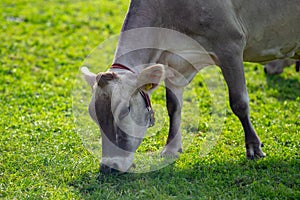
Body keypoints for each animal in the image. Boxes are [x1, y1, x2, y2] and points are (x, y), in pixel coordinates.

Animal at [82, 0, 300, 173]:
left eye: (125, 110)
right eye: (93, 115)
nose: (109, 166)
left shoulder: (230, 45)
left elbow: (239, 102)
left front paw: (254, 147)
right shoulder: (173, 61)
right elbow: (173, 106)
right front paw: (171, 148)